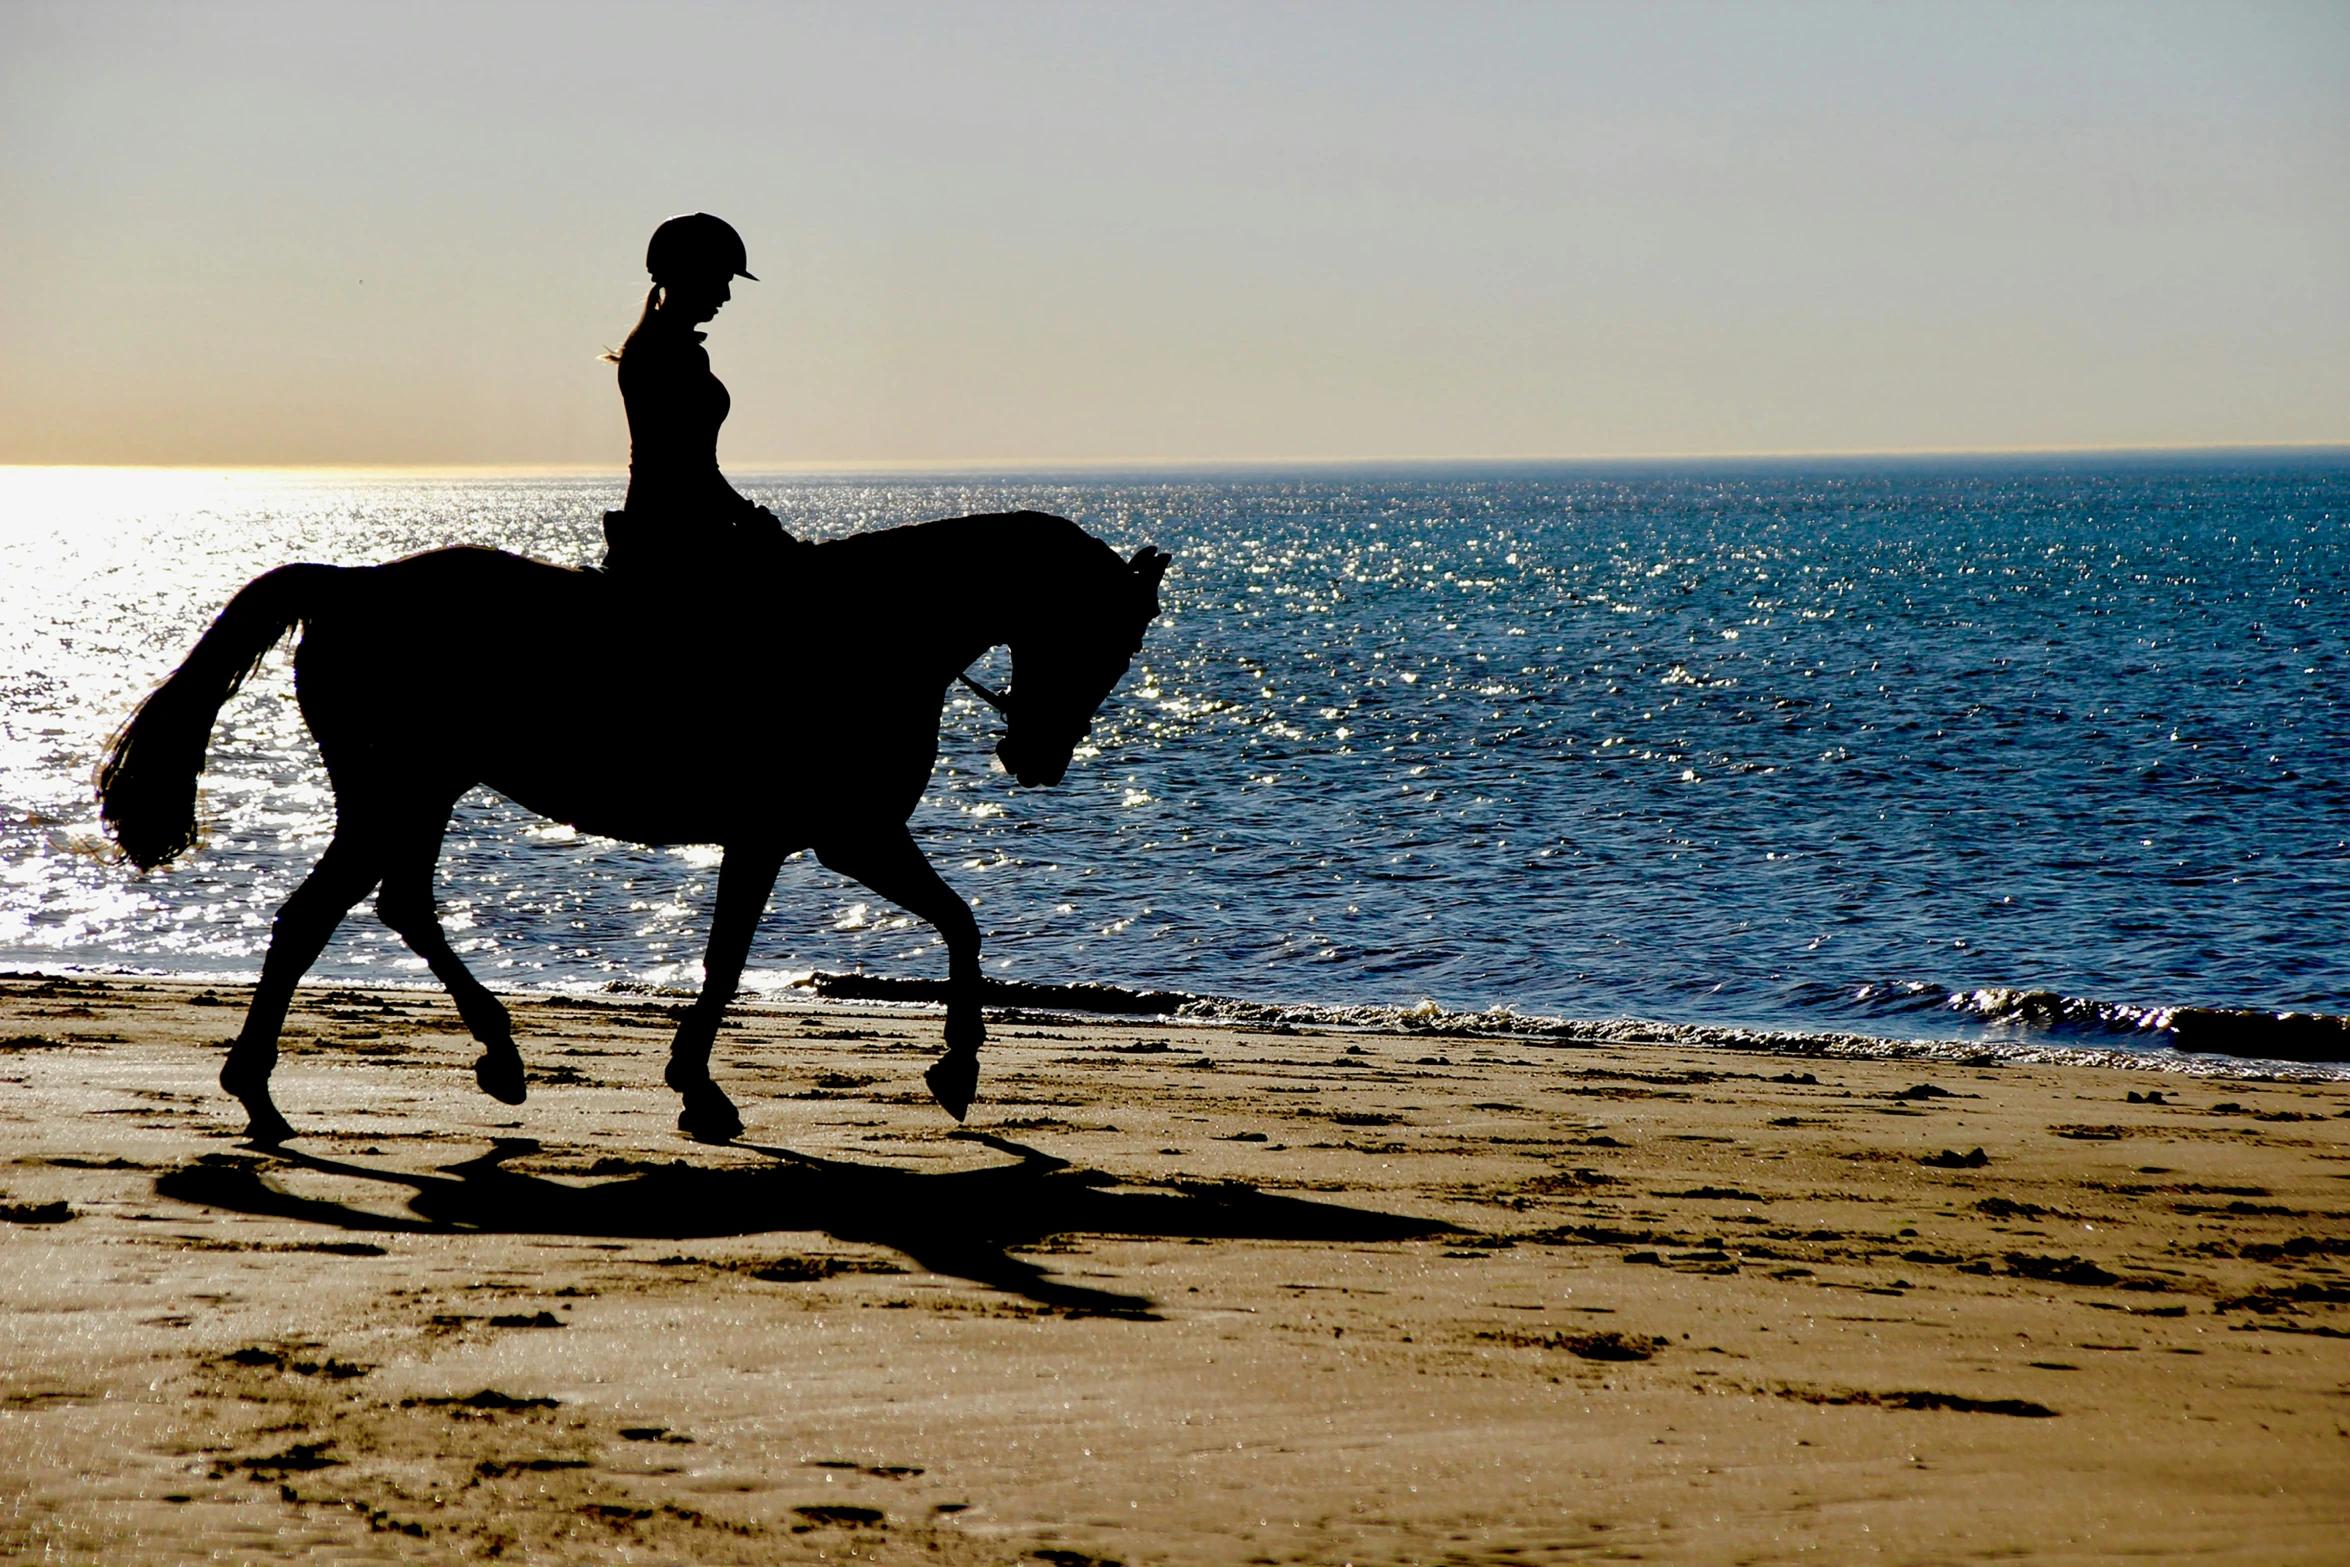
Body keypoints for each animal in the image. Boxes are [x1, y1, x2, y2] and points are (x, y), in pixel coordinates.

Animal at [98, 512, 1165, 1141]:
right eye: (1102, 639)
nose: (1035, 760)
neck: (872, 630)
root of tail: (353, 584)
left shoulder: (799, 838)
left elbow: (932, 926)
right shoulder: (834, 833)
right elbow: (824, 944)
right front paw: (946, 1067)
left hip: (412, 792)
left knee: (388, 904)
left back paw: (491, 1058)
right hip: (403, 788)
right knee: (318, 915)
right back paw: (264, 1089)